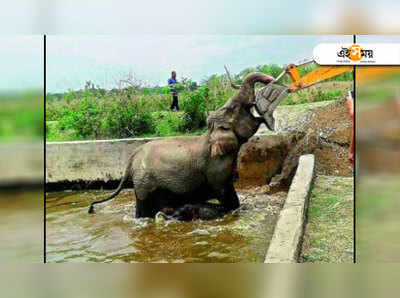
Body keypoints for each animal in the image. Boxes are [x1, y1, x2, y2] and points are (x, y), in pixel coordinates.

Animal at [88, 72, 276, 217]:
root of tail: (132, 158)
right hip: (144, 184)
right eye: (235, 107)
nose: (271, 79)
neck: (209, 134)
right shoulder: (215, 167)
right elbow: (226, 194)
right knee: (143, 209)